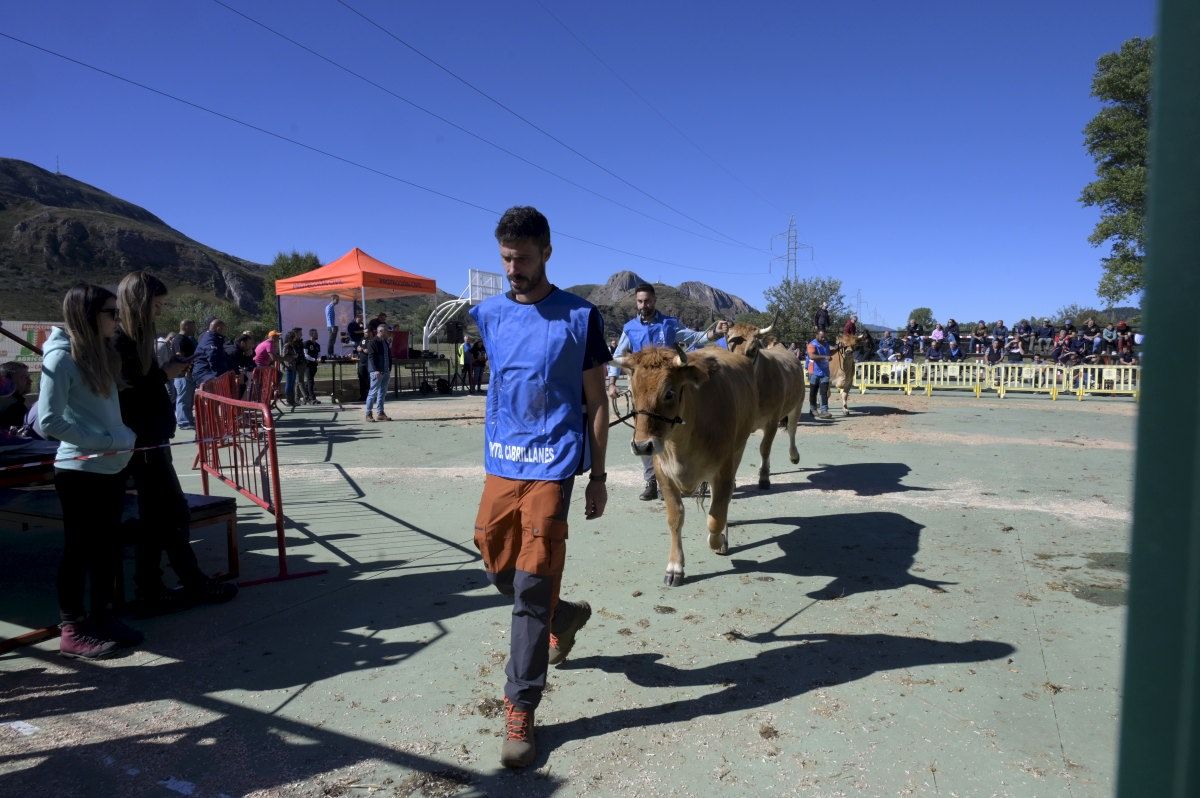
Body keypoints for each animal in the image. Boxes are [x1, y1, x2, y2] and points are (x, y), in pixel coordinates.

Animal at [614, 343, 753, 585]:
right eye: (632, 391)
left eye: (669, 393)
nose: (642, 446)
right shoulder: (663, 473)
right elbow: (675, 518)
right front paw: (675, 567)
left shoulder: (723, 471)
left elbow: (716, 517)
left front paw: (718, 542)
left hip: (738, 450)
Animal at [720, 316, 806, 484]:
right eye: (729, 347)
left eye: (753, 350)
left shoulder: (772, 421)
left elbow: (764, 448)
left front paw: (764, 476)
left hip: (797, 404)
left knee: (792, 429)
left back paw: (794, 456)